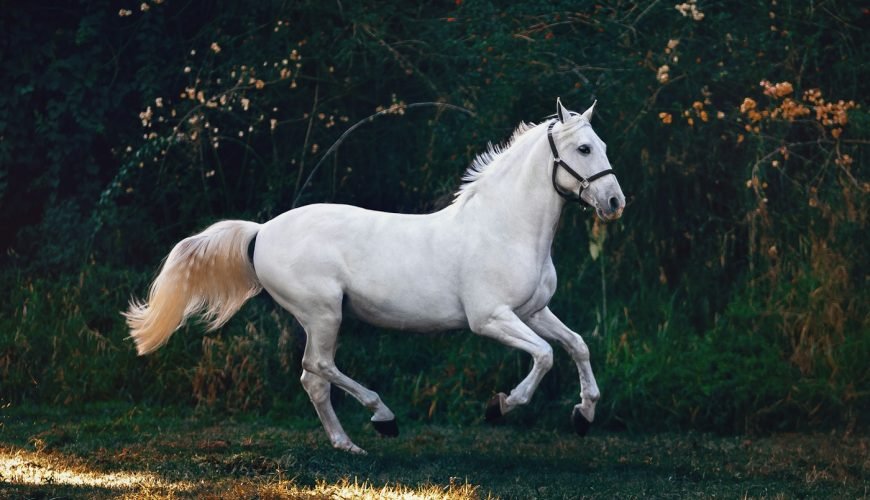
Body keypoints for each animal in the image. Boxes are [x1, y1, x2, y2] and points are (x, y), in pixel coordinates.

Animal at [125, 98, 625, 454]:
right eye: (584, 148)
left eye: (603, 146)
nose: (615, 202)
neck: (504, 227)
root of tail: (261, 231)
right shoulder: (491, 318)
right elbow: (544, 356)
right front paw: (500, 406)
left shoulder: (534, 311)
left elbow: (577, 345)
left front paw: (583, 415)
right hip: (323, 313)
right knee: (318, 368)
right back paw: (382, 418)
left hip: (322, 318)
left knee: (313, 379)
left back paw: (348, 444)